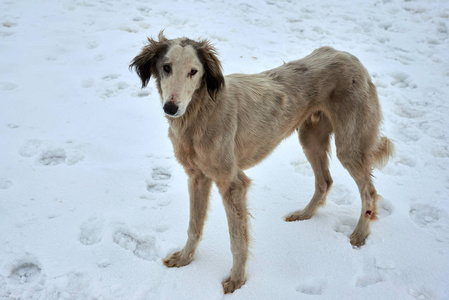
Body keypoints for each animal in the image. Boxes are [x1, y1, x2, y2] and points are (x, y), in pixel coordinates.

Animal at [130, 32, 392, 292]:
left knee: (368, 191)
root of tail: (349, 56)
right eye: (166, 67)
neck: (202, 111)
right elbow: (194, 226)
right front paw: (185, 259)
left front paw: (237, 280)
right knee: (325, 181)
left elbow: (237, 240)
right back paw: (304, 215)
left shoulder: (233, 184)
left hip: (349, 145)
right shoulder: (197, 177)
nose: (171, 108)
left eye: (193, 71)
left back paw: (360, 234)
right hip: (310, 137)